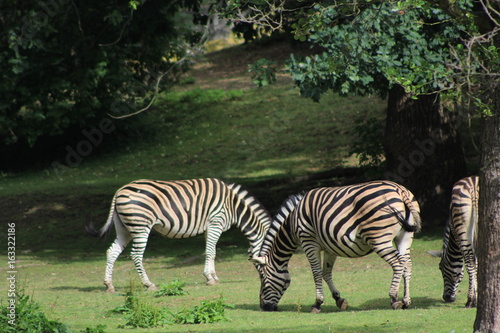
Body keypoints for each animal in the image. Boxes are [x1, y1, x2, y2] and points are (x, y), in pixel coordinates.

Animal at [88, 176, 272, 290]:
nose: (263, 281)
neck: (233, 205)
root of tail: (120, 190)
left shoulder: (209, 227)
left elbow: (211, 251)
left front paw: (212, 277)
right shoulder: (215, 223)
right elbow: (211, 252)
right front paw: (210, 278)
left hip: (124, 228)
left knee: (112, 251)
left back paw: (109, 285)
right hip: (141, 226)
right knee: (136, 255)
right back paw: (149, 284)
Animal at [250, 179, 422, 312]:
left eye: (263, 278)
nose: (264, 307)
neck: (292, 223)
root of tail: (399, 190)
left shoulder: (308, 241)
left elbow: (316, 273)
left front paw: (317, 304)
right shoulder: (329, 247)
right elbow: (326, 273)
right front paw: (339, 300)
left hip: (379, 238)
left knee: (397, 263)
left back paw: (394, 299)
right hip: (404, 236)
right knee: (407, 264)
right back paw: (406, 301)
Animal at [436, 175, 478, 308]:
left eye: (441, 268)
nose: (446, 298)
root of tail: (473, 184)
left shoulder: (456, 234)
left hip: (462, 229)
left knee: (469, 262)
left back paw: (470, 300)